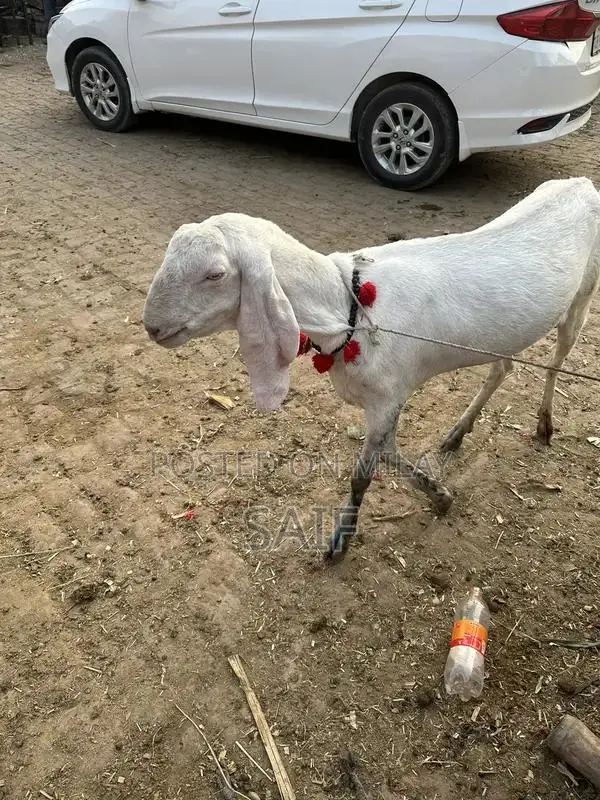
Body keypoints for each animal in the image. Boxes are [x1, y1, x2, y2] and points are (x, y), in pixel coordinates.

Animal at [142, 176, 600, 562]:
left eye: (215, 274)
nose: (152, 326)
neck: (350, 305)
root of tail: (580, 183)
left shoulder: (386, 399)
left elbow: (362, 476)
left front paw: (340, 541)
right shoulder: (387, 402)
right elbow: (392, 456)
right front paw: (440, 496)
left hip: (582, 296)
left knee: (555, 363)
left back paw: (544, 425)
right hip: (501, 335)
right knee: (501, 368)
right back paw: (458, 433)